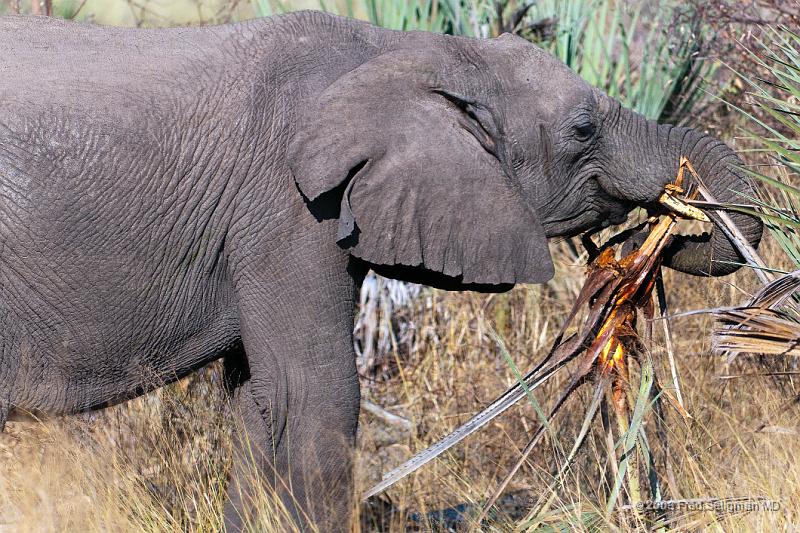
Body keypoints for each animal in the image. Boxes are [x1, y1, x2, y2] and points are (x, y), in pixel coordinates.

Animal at [0, 9, 764, 532]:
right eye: (583, 129)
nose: (675, 214)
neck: (401, 52)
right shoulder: (288, 208)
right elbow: (314, 397)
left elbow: (259, 400)